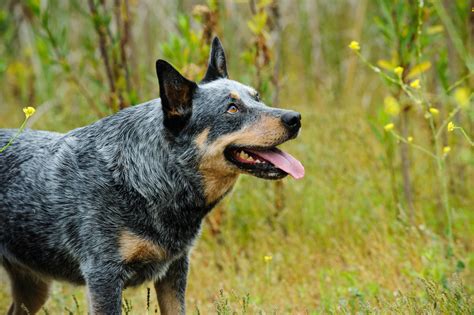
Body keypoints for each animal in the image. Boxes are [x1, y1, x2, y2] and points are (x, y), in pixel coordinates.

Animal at [0, 38, 304, 314]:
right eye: (232, 109)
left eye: (257, 97)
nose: (295, 118)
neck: (142, 178)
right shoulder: (103, 276)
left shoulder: (175, 270)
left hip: (34, 290)